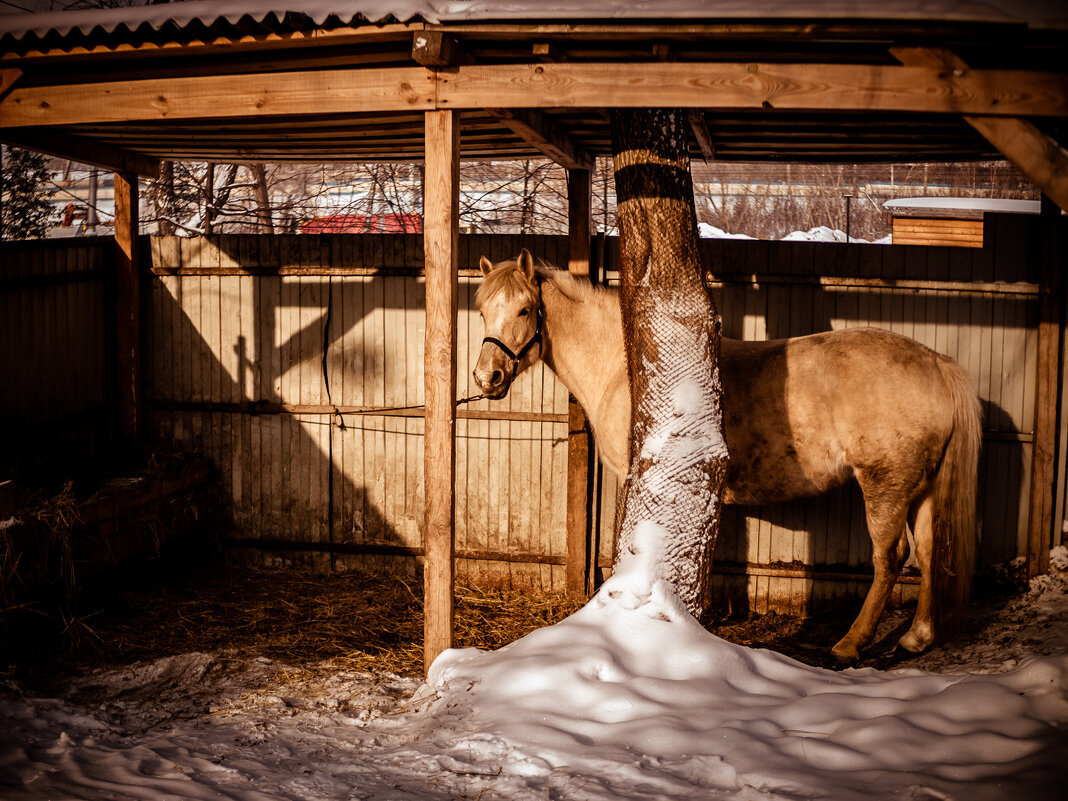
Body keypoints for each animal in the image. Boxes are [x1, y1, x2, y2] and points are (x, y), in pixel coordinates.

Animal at [472, 250, 978, 666]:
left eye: (524, 309)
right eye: (482, 310)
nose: (486, 377)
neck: (625, 367)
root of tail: (936, 364)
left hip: (885, 484)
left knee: (890, 557)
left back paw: (850, 644)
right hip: (921, 487)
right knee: (929, 551)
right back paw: (916, 638)